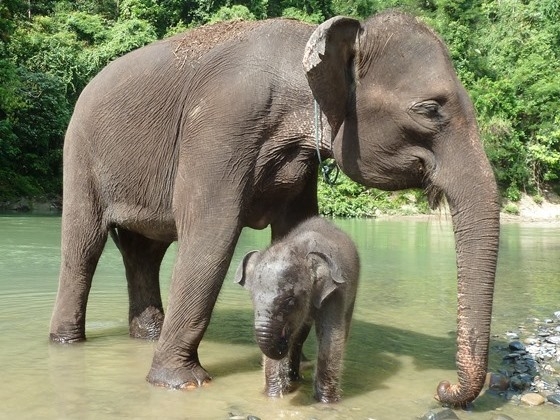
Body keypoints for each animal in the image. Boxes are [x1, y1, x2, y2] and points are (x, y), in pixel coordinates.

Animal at [235, 217, 358, 404]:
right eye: (253, 298)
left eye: (290, 302)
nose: (283, 342)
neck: (300, 248)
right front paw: (274, 396)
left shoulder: (336, 292)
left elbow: (330, 336)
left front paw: (327, 403)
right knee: (300, 336)